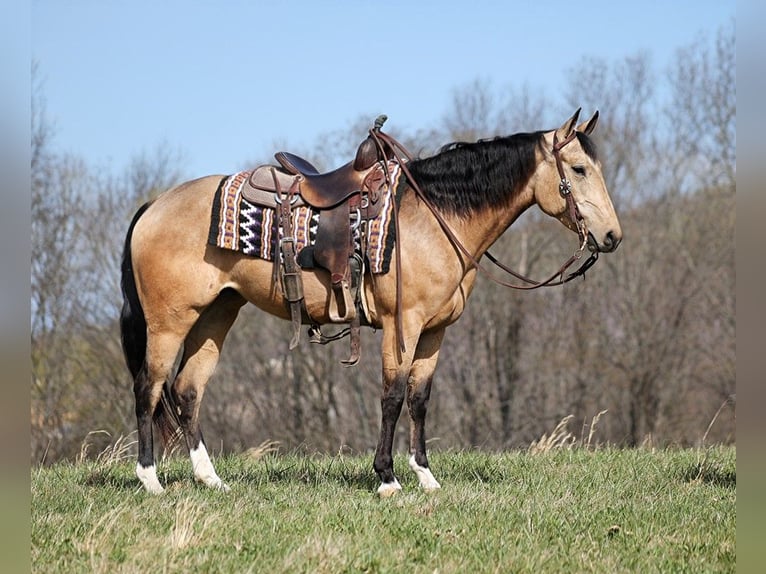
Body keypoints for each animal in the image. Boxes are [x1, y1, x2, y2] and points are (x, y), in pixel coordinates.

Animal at [120, 110, 624, 498]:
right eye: (579, 169)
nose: (612, 236)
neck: (436, 217)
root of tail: (153, 206)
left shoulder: (434, 332)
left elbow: (419, 399)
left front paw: (425, 476)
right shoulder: (404, 324)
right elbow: (393, 396)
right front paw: (386, 478)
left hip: (217, 314)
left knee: (187, 390)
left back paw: (211, 480)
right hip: (168, 322)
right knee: (149, 387)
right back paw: (151, 481)